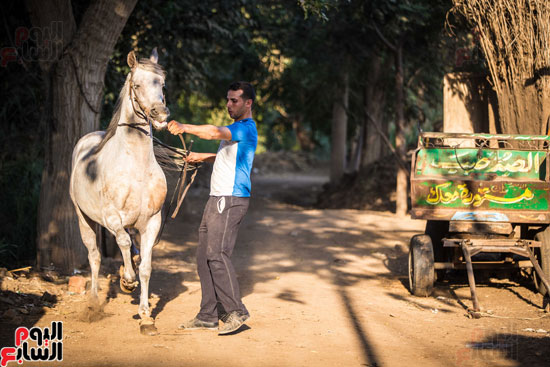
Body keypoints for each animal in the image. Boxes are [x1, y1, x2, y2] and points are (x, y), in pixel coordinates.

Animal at [71, 49, 170, 336]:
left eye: (162, 83)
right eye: (136, 85)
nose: (160, 114)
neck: (137, 166)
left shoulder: (152, 222)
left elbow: (146, 267)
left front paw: (146, 317)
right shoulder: (112, 218)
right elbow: (123, 243)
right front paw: (127, 280)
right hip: (84, 219)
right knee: (94, 256)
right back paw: (94, 302)